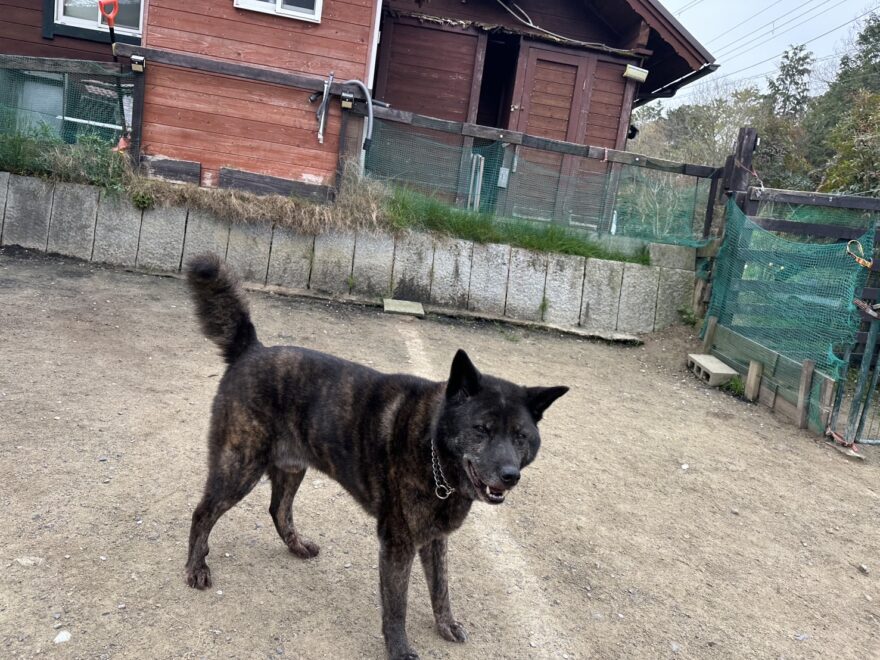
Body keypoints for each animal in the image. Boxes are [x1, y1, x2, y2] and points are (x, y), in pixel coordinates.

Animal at [183, 254, 568, 659]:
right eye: (482, 429)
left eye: (521, 436)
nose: (510, 475)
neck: (433, 447)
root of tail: (251, 349)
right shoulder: (398, 542)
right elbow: (396, 606)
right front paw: (399, 649)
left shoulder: (434, 539)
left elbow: (441, 588)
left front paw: (446, 624)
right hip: (239, 467)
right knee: (203, 513)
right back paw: (196, 567)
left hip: (291, 466)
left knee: (278, 510)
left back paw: (297, 546)